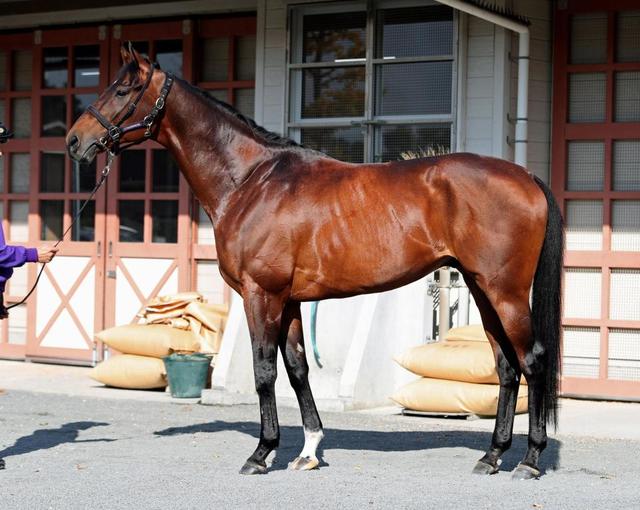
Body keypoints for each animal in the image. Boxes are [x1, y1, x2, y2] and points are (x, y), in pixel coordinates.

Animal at [66, 44, 563, 480]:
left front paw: (262, 453)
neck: (251, 181)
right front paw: (308, 451)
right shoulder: (288, 300)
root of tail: (526, 176)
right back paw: (492, 456)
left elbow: (264, 370)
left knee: (532, 360)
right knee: (505, 366)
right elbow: (298, 367)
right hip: (483, 290)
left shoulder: (260, 294)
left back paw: (529, 461)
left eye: (123, 90)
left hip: (505, 292)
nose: (75, 141)